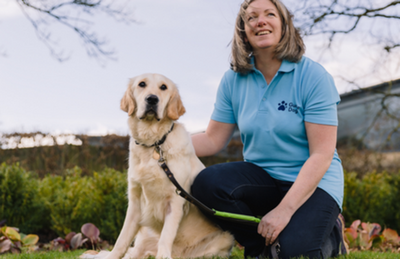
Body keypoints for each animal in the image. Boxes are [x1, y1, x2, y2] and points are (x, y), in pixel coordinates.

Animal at [90, 73, 234, 259]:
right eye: (141, 84)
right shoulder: (135, 201)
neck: (153, 144)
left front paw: (164, 256)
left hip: (225, 239)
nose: (152, 99)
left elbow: (166, 235)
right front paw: (112, 256)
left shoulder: (175, 200)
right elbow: (122, 238)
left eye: (163, 87)